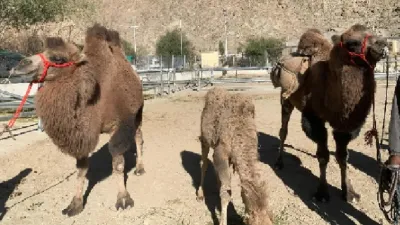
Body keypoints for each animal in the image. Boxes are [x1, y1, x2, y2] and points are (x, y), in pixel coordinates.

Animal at [9, 23, 145, 215]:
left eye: (58, 58)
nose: (20, 65)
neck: (93, 100)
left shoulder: (119, 125)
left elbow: (118, 163)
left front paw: (123, 199)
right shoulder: (81, 135)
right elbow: (81, 169)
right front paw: (74, 204)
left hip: (138, 112)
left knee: (138, 137)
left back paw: (140, 168)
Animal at [272, 24, 388, 202]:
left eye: (373, 33)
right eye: (352, 43)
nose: (382, 44)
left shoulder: (344, 125)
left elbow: (343, 157)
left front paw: (349, 192)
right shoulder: (313, 118)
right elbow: (323, 156)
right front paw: (322, 192)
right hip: (286, 99)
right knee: (283, 130)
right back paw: (279, 163)